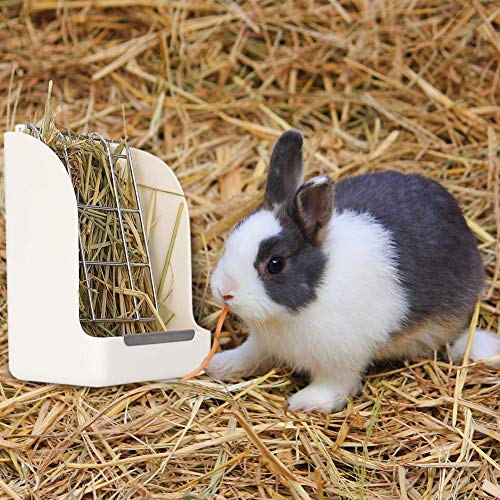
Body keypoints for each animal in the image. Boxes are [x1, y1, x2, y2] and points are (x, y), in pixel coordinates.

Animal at [206, 130, 496, 414]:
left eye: (275, 264)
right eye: (233, 235)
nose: (224, 291)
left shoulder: (341, 359)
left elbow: (336, 386)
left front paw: (303, 402)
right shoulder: (263, 342)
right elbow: (250, 353)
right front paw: (219, 365)